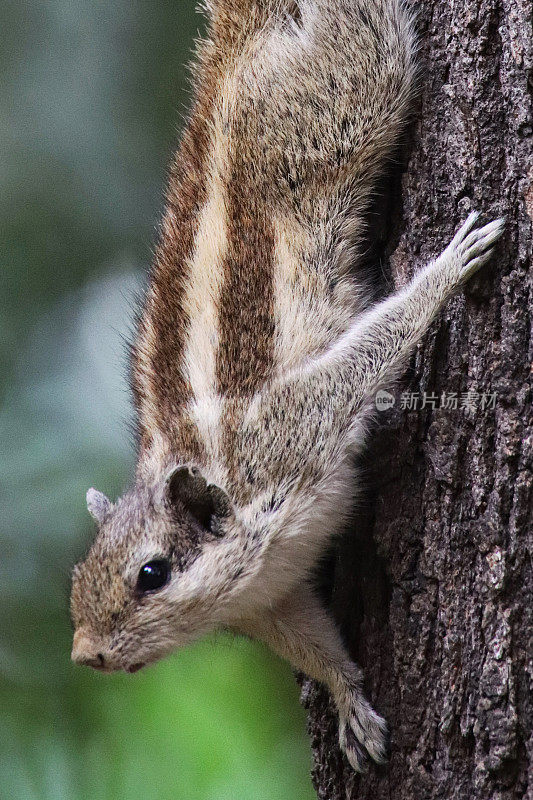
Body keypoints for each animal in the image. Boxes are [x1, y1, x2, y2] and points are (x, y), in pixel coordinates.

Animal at [70, 0, 502, 776]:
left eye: (151, 574)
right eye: (76, 578)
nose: (85, 655)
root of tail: (226, 65)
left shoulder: (286, 430)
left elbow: (355, 367)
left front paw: (441, 277)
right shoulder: (271, 604)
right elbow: (313, 642)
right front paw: (348, 703)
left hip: (335, 110)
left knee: (366, 43)